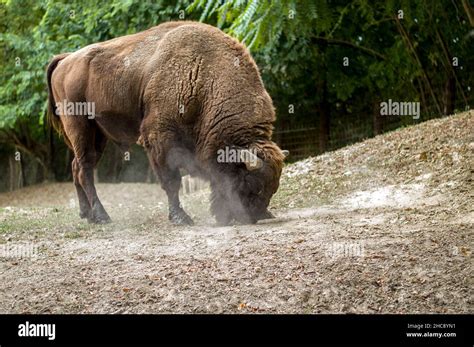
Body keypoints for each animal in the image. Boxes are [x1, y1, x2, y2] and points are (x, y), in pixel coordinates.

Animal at [46, 21, 286, 226]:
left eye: (273, 188)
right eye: (251, 183)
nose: (253, 216)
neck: (204, 77)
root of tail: (66, 60)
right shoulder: (159, 138)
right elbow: (172, 181)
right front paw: (181, 218)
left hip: (98, 134)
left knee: (76, 167)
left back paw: (86, 214)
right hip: (80, 128)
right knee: (85, 170)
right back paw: (101, 216)